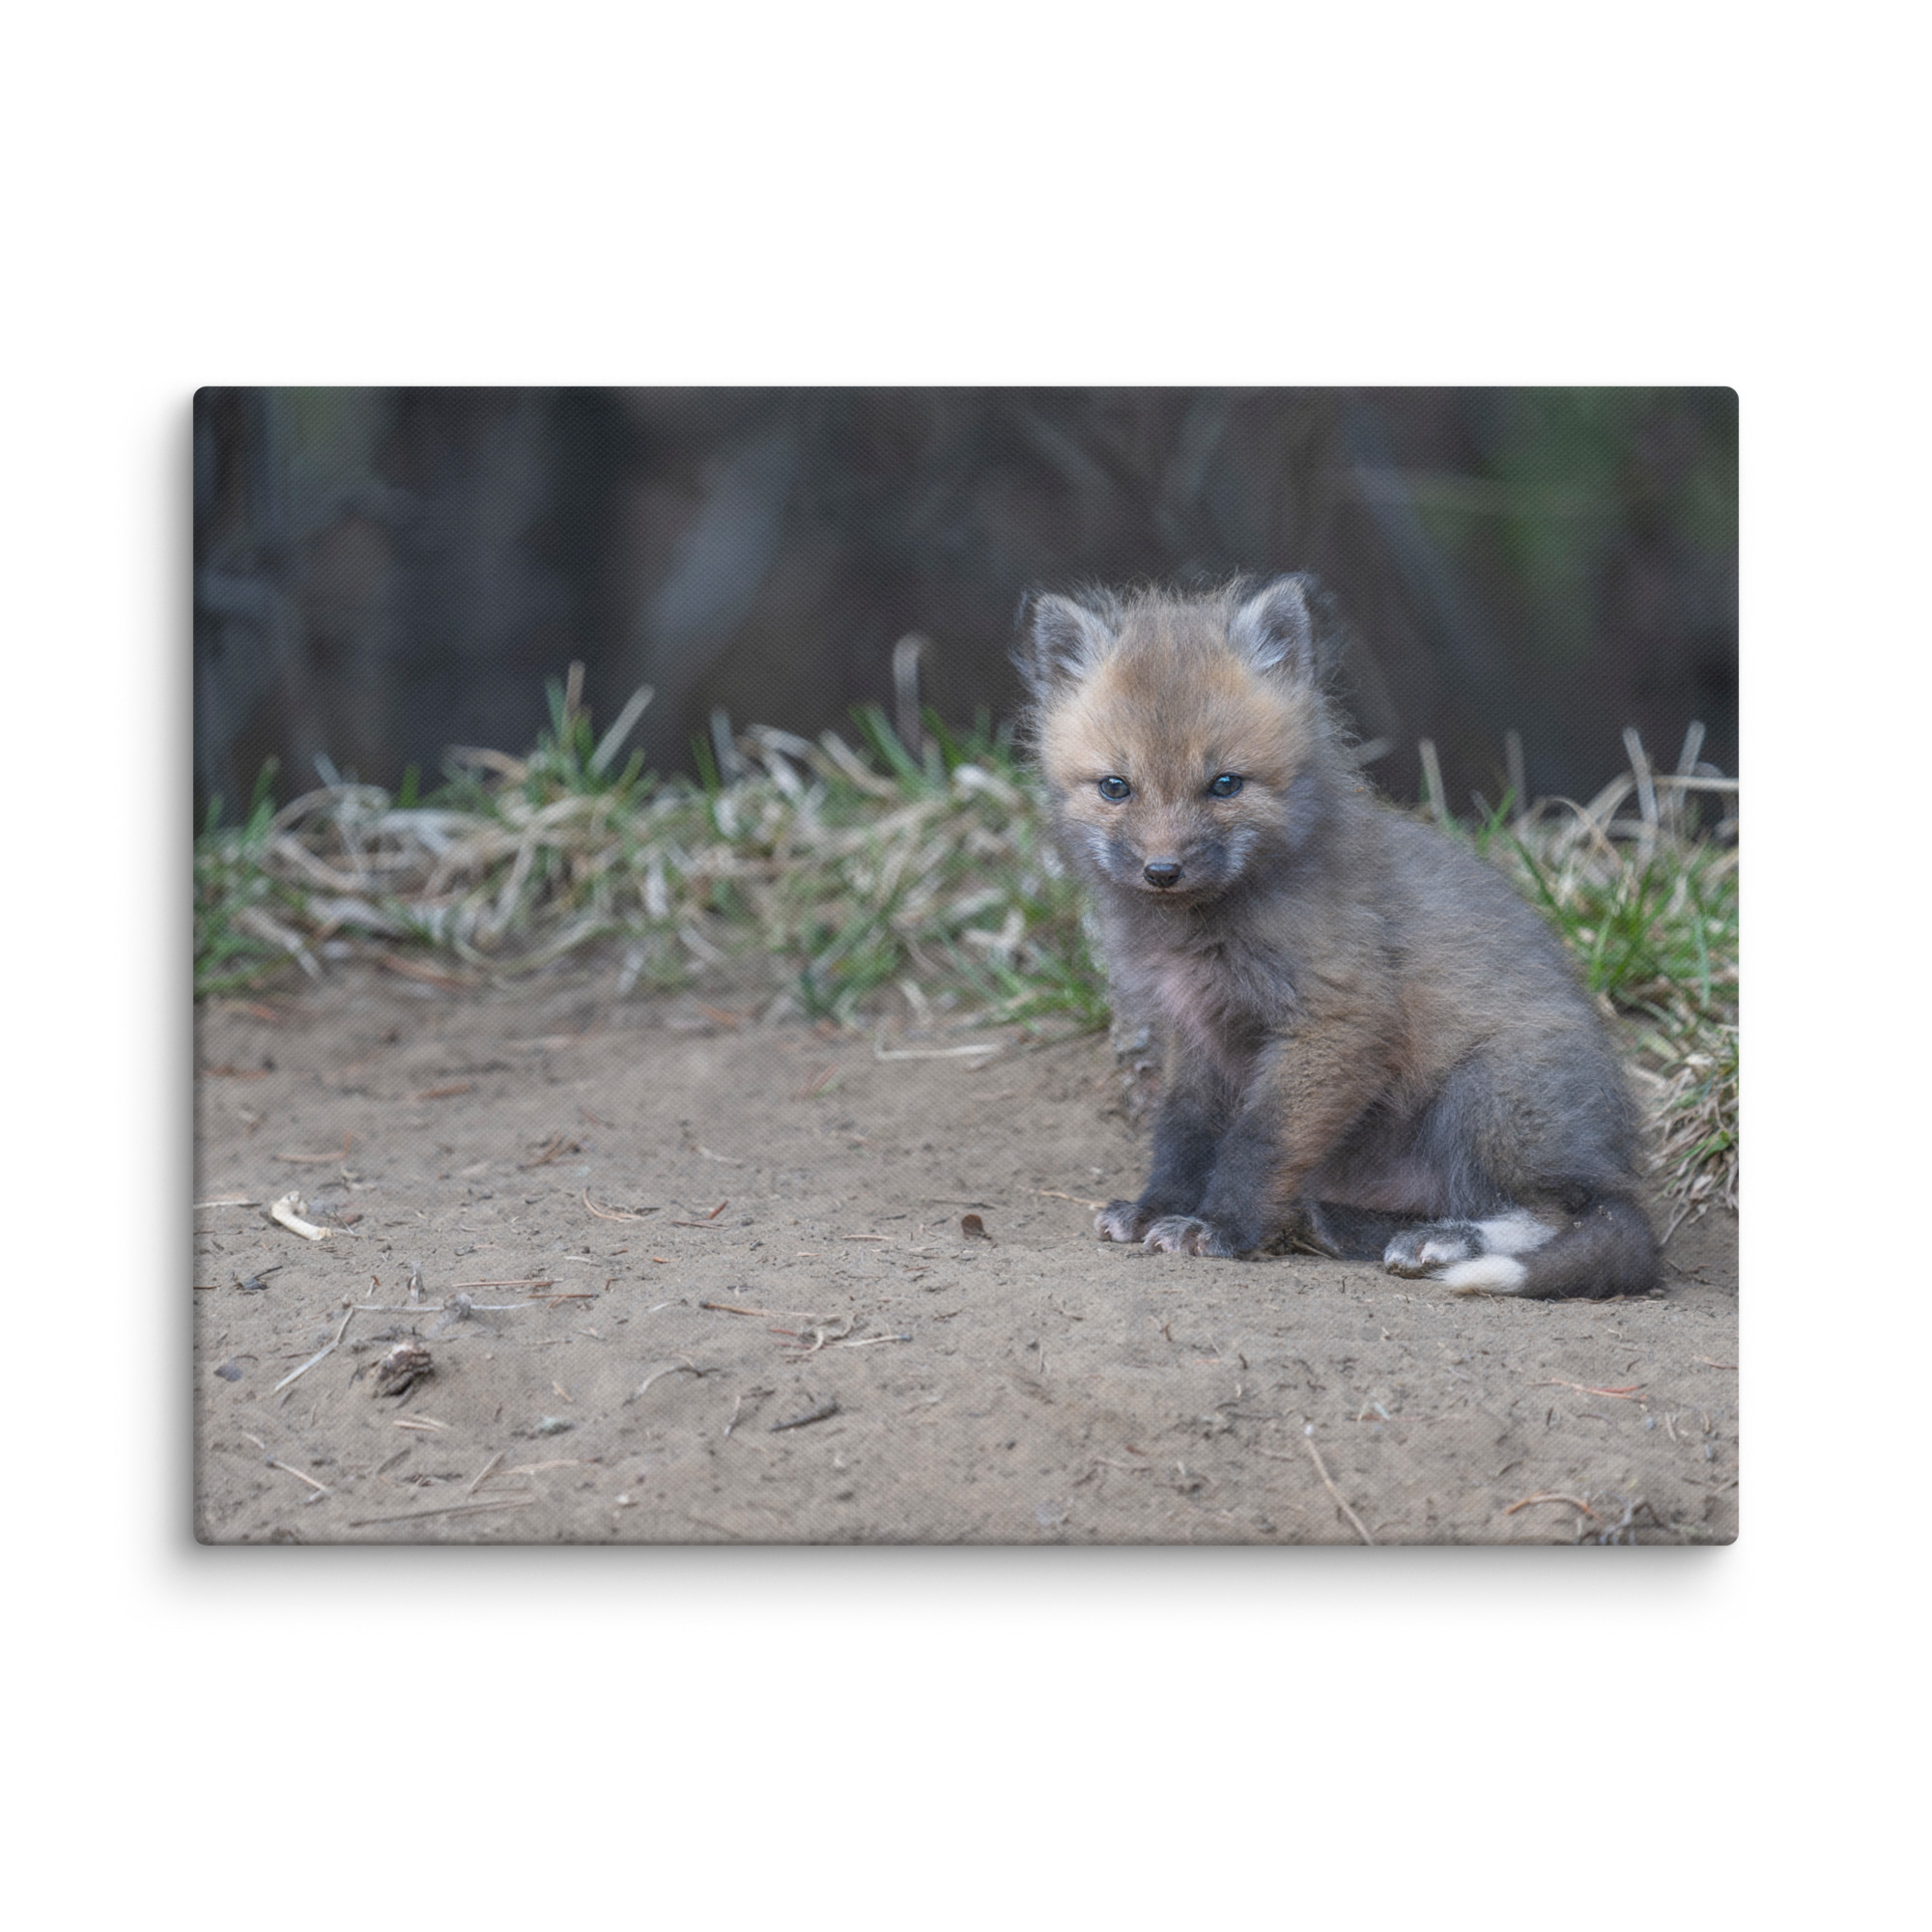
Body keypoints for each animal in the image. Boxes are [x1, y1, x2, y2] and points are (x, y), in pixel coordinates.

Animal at [1017, 573, 1659, 1298]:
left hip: (1486, 1095)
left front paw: (1221, 1228)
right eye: (1116, 787)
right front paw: (1159, 1208)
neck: (1204, 930)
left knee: (1567, 1213)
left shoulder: (1336, 1019)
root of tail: (1614, 1159)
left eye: (1225, 785)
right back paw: (1345, 1225)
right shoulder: (1198, 1032)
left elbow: (1258, 1141)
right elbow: (1183, 1133)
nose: (1162, 870)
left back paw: (1443, 1242)